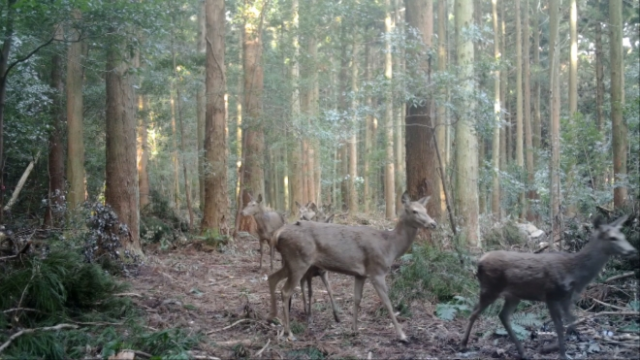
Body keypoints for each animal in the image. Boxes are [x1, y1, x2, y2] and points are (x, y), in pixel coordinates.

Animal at [268, 191, 438, 340]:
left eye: (426, 210)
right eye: (414, 211)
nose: (433, 224)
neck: (389, 247)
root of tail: (277, 234)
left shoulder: (360, 274)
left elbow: (357, 299)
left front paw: (354, 330)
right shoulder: (376, 271)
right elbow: (387, 302)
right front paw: (402, 335)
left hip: (290, 261)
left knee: (271, 278)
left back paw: (273, 318)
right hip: (299, 259)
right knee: (286, 291)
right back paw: (289, 332)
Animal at [460, 215, 636, 358]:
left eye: (623, 235)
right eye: (612, 238)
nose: (632, 250)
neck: (575, 273)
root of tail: (479, 262)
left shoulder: (567, 298)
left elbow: (571, 321)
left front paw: (559, 347)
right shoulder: (551, 295)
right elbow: (559, 325)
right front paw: (560, 352)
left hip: (513, 295)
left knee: (503, 315)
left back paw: (522, 352)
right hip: (490, 288)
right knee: (474, 312)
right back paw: (463, 344)